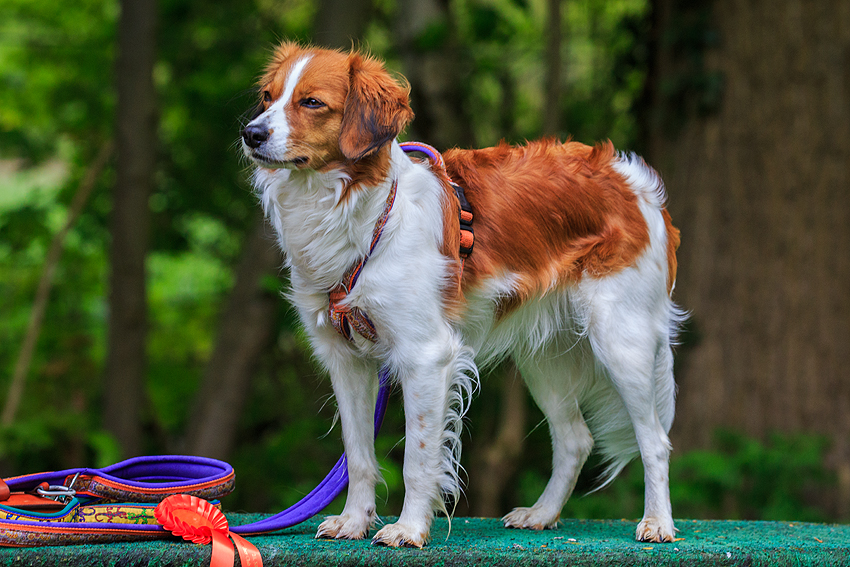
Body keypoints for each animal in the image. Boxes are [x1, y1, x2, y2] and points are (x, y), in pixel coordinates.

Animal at [240, 44, 684, 552]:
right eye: (268, 97)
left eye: (312, 102)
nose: (251, 134)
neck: (362, 215)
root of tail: (630, 179)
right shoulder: (346, 360)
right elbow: (358, 455)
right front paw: (354, 521)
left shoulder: (426, 356)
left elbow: (418, 459)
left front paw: (409, 529)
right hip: (544, 358)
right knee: (575, 439)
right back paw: (542, 514)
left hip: (622, 342)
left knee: (654, 441)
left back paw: (658, 523)